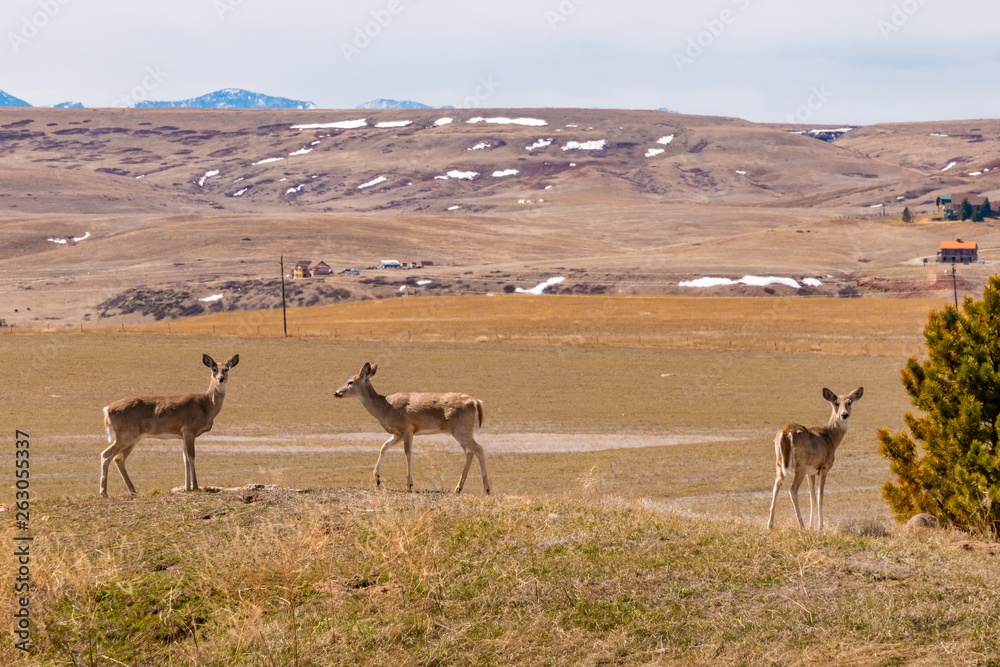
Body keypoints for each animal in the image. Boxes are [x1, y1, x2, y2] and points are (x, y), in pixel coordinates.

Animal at [99, 354, 239, 498]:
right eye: (214, 369)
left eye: (226, 369)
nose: (221, 379)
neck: (206, 405)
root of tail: (107, 409)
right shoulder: (189, 430)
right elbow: (191, 457)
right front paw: (195, 486)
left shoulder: (183, 434)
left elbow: (185, 460)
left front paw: (187, 487)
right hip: (126, 435)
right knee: (106, 454)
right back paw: (104, 492)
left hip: (133, 437)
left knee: (118, 458)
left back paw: (133, 490)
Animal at [333, 362, 490, 495]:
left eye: (350, 382)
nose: (336, 392)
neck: (386, 409)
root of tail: (476, 402)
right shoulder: (397, 433)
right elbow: (383, 446)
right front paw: (377, 478)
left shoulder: (407, 428)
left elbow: (407, 453)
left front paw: (409, 484)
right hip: (460, 431)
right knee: (469, 453)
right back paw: (458, 488)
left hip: (461, 429)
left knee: (479, 449)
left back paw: (486, 489)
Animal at [766, 387, 864, 531]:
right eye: (835, 403)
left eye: (849, 402)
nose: (844, 415)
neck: (831, 438)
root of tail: (784, 433)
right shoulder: (824, 467)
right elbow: (820, 496)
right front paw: (820, 527)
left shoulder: (810, 472)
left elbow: (812, 497)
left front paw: (812, 525)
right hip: (800, 465)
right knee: (793, 489)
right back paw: (801, 525)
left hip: (779, 463)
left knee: (776, 484)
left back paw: (770, 524)